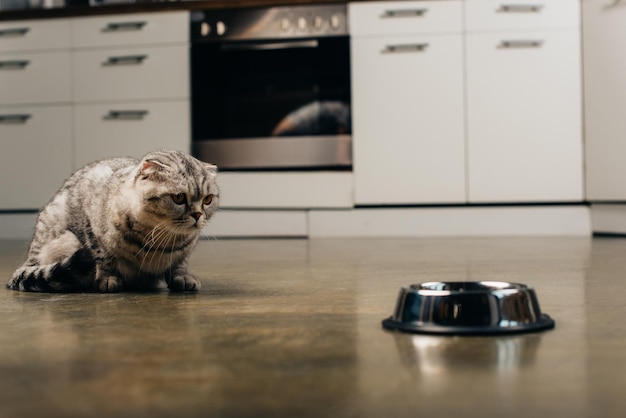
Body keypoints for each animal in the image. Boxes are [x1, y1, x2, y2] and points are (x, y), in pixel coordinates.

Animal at [5, 151, 217, 294]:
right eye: (179, 198)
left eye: (207, 200)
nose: (198, 215)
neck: (160, 238)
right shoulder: (92, 230)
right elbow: (104, 257)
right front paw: (108, 279)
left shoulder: (186, 249)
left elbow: (180, 262)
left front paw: (182, 278)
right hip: (64, 241)